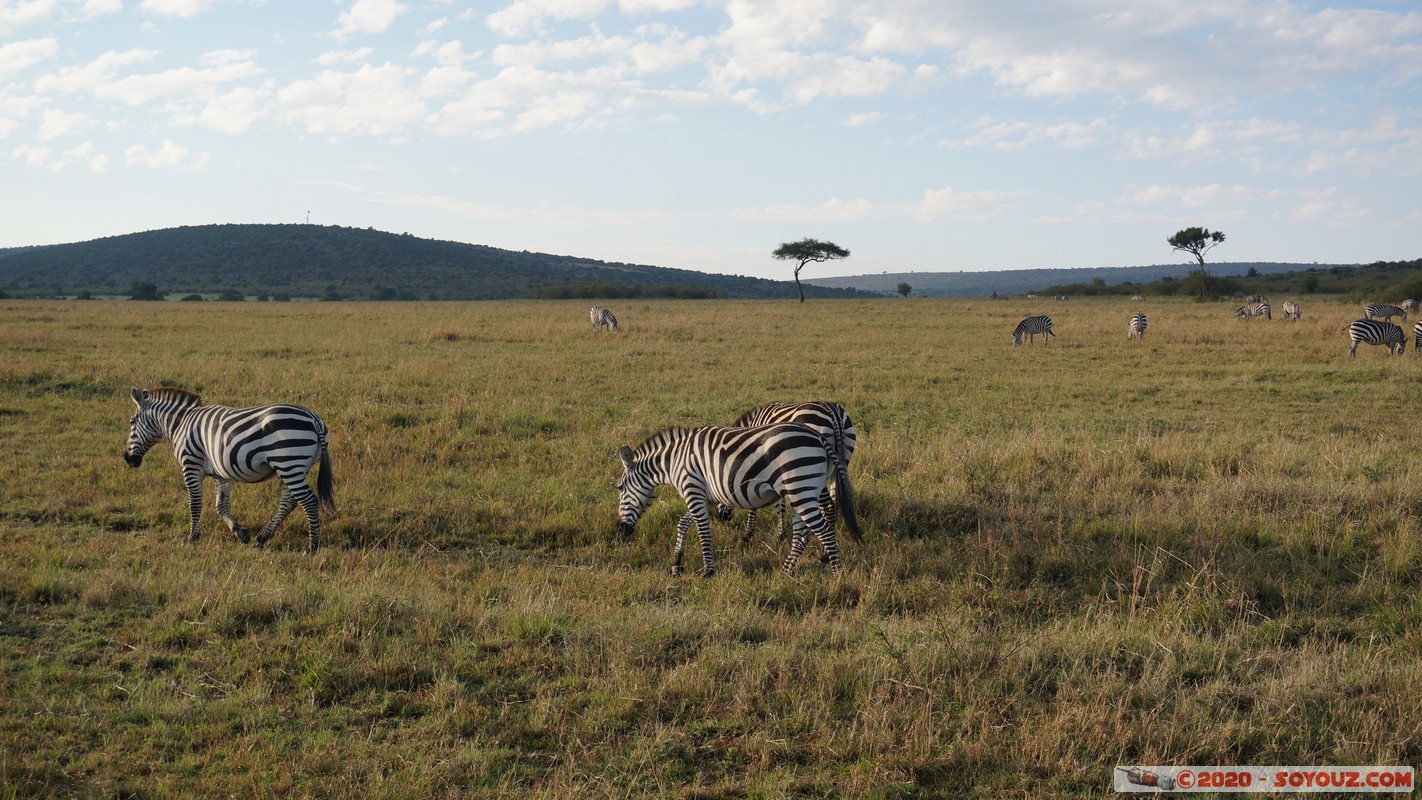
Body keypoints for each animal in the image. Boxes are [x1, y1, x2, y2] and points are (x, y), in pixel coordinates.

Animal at [124, 386, 335, 551]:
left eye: (132, 422)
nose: (127, 458)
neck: (180, 423)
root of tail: (314, 419)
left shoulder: (191, 465)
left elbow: (195, 503)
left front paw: (193, 537)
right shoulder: (220, 473)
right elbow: (221, 506)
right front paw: (240, 532)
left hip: (288, 463)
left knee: (308, 500)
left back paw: (312, 547)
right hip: (295, 467)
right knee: (289, 502)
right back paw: (261, 539)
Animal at [617, 423, 858, 579]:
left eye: (619, 488)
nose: (620, 530)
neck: (673, 461)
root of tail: (819, 437)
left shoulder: (692, 489)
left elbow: (703, 532)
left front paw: (708, 571)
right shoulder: (706, 497)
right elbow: (683, 523)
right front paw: (677, 564)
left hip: (800, 488)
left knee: (824, 530)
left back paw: (838, 576)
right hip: (800, 491)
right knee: (802, 534)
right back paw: (785, 573)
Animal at [716, 397, 858, 545]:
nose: (721, 518)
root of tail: (833, 413)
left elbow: (756, 503)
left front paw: (748, 535)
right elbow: (780, 503)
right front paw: (780, 535)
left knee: (828, 506)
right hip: (839, 464)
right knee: (834, 503)